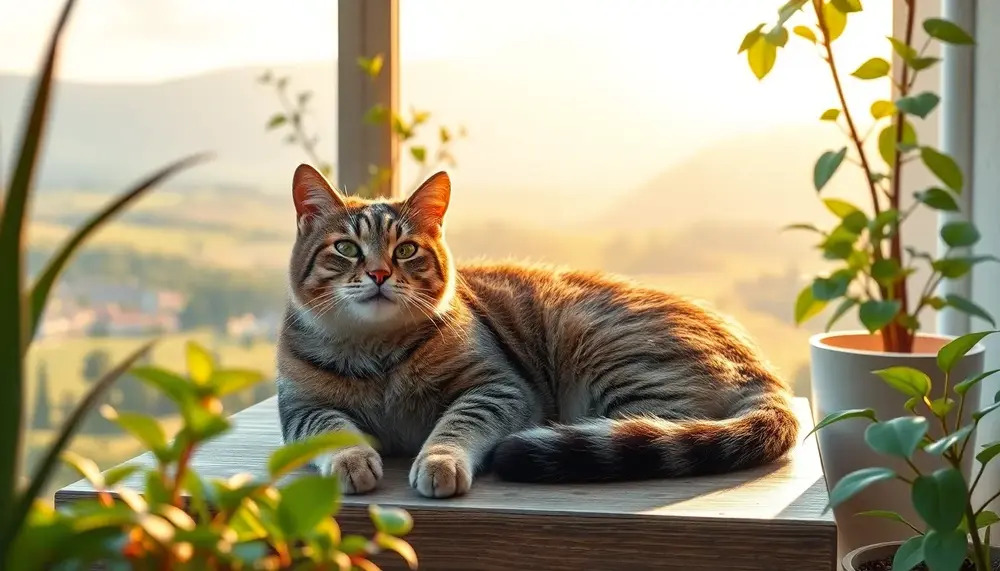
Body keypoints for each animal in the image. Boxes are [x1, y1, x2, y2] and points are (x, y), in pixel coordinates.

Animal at [278, 163, 800, 498]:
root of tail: (758, 364)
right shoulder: (302, 407)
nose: (380, 274)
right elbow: (331, 430)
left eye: (405, 250)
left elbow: (457, 424)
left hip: (608, 357)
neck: (378, 352)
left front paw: (439, 460)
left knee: (649, 429)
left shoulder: (499, 388)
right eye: (346, 248)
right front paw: (352, 460)